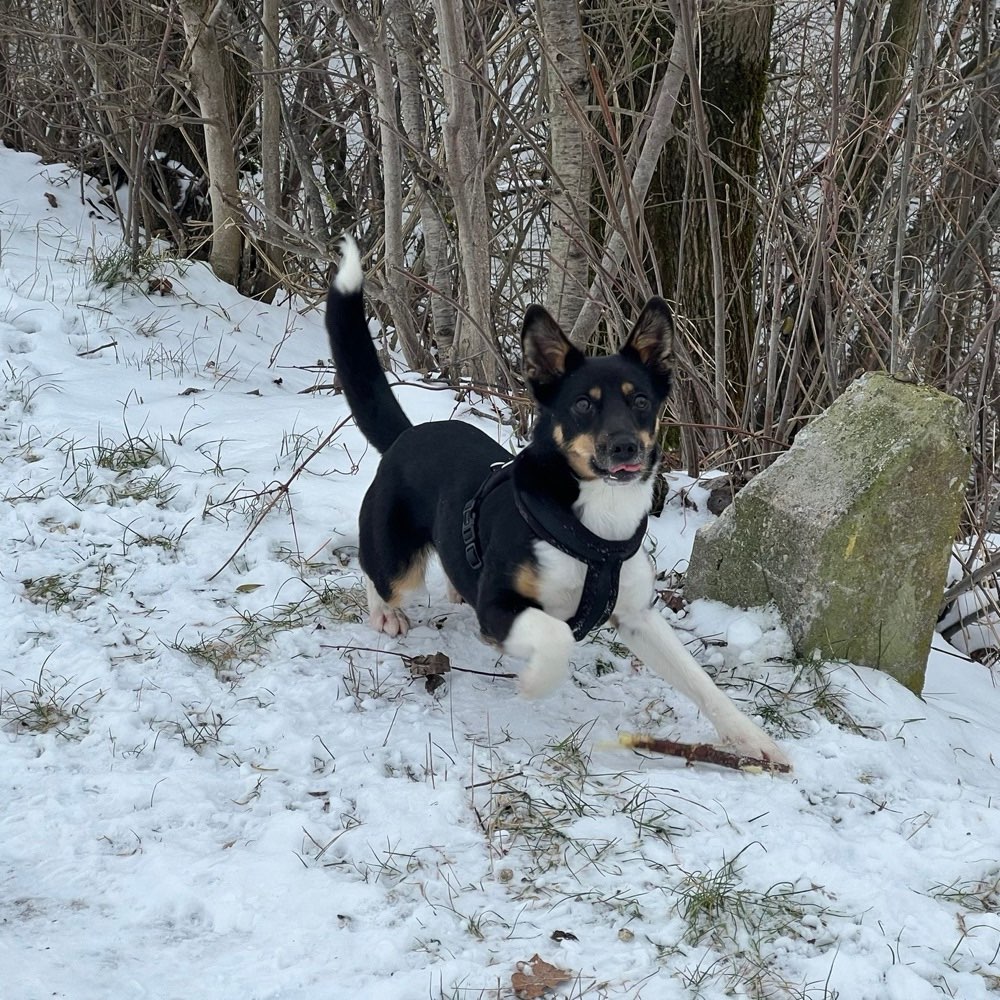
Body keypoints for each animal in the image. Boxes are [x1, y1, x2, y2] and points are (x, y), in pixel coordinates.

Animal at [326, 238, 788, 768]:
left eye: (641, 401)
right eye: (583, 404)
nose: (625, 447)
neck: (595, 527)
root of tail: (408, 434)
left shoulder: (639, 617)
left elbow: (700, 680)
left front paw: (751, 739)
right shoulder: (499, 606)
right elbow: (558, 634)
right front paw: (536, 681)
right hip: (396, 558)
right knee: (377, 570)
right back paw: (386, 612)